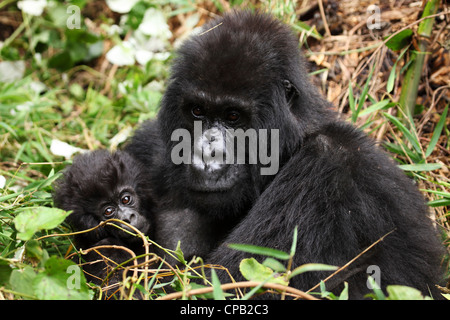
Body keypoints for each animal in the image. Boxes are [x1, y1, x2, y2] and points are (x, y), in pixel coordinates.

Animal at [125, 11, 444, 298]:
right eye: (197, 111)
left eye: (233, 117)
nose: (207, 155)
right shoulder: (149, 147)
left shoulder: (326, 168)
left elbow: (228, 285)